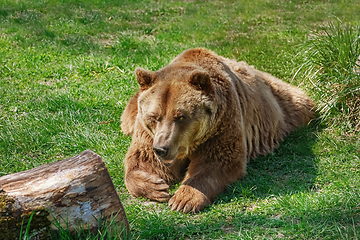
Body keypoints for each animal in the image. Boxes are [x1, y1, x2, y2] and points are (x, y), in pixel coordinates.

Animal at [119, 47, 314, 213]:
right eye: (154, 117)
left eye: (181, 117)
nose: (161, 149)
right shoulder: (147, 133)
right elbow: (143, 160)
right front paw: (156, 186)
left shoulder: (222, 124)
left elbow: (218, 162)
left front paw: (183, 199)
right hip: (131, 113)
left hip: (285, 103)